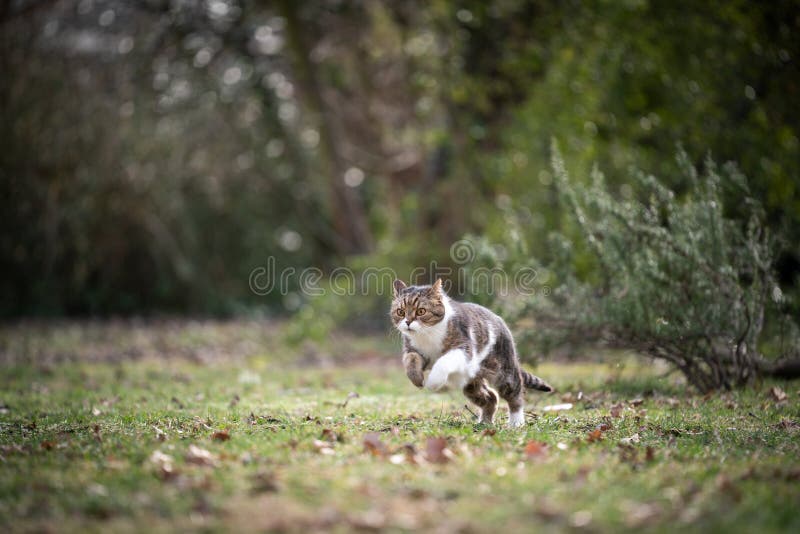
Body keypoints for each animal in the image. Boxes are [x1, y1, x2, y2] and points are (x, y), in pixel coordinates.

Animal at [392, 278, 552, 430]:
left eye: (421, 311)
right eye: (400, 312)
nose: (407, 322)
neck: (427, 335)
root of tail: (499, 319)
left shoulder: (464, 349)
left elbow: (443, 361)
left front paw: (433, 383)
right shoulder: (414, 350)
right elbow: (410, 360)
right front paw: (417, 379)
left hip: (503, 371)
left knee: (515, 393)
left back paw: (516, 422)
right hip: (471, 382)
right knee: (490, 397)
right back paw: (485, 423)